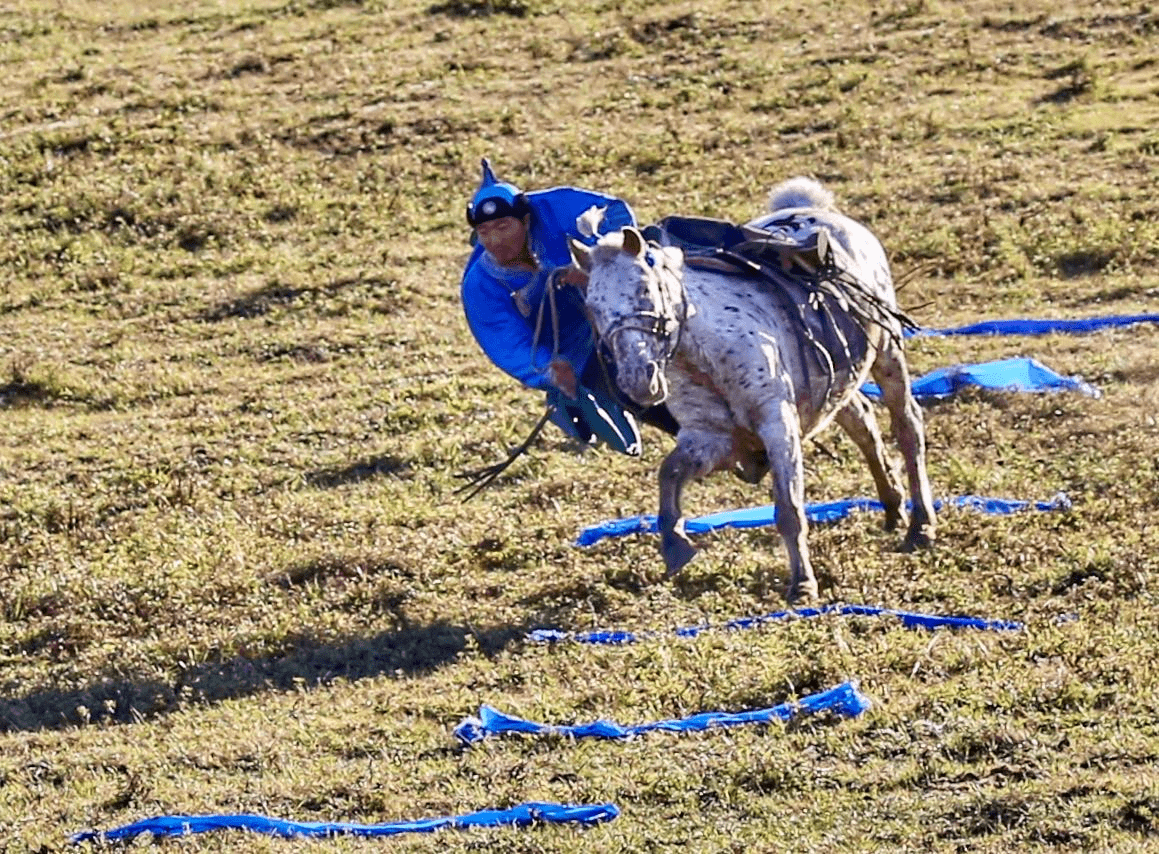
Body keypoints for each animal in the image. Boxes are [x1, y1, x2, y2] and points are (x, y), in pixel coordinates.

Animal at [570, 174, 941, 597]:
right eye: (593, 307)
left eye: (644, 290)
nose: (637, 380)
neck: (705, 353)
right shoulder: (707, 438)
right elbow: (669, 473)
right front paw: (675, 543)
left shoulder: (777, 423)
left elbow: (789, 507)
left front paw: (803, 584)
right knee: (861, 419)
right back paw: (893, 507)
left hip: (888, 353)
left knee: (907, 426)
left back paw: (920, 526)